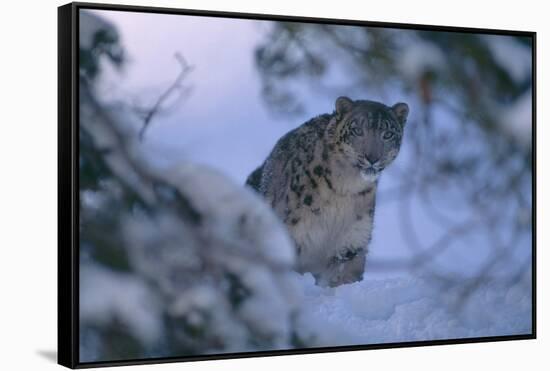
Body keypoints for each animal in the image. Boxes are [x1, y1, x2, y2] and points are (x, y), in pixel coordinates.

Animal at [247, 96, 410, 288]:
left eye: (388, 134)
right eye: (357, 130)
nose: (372, 158)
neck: (345, 189)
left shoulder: (351, 243)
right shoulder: (291, 238)